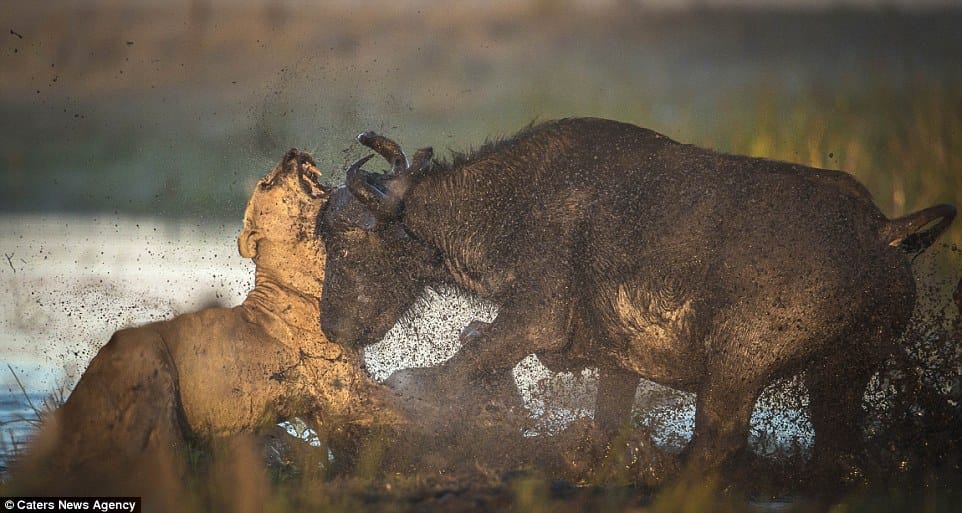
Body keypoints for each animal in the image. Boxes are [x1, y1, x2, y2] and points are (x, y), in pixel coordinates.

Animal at [11, 149, 403, 501]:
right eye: (266, 182)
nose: (292, 153)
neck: (313, 267)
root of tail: (69, 408)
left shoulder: (331, 399)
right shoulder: (341, 390)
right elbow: (400, 411)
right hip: (148, 364)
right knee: (156, 460)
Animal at [315, 117, 956, 487]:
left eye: (343, 243)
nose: (331, 327)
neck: (513, 203)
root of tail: (879, 230)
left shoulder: (535, 318)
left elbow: (462, 363)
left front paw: (410, 391)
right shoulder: (616, 364)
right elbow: (604, 424)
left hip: (738, 366)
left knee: (718, 443)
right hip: (843, 371)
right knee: (839, 451)